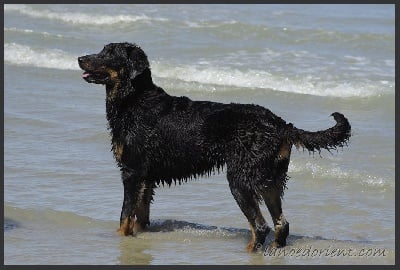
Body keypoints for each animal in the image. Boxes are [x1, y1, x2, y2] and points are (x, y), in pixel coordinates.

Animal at [77, 41, 350, 251]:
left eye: (109, 53)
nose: (79, 58)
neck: (134, 99)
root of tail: (281, 124)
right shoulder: (146, 177)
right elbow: (140, 217)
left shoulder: (132, 172)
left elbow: (125, 217)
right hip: (270, 179)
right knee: (281, 225)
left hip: (240, 179)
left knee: (260, 226)